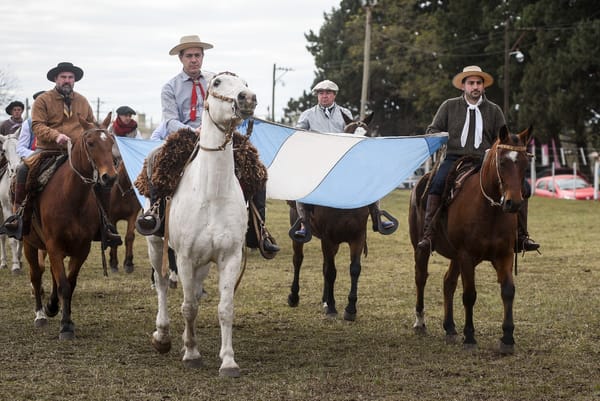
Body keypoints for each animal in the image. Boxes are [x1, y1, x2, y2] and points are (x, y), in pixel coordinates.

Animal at [26, 114, 118, 340]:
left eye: (111, 142)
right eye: (91, 143)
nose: (110, 177)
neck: (71, 197)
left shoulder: (81, 248)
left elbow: (69, 282)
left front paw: (63, 316)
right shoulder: (53, 245)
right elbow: (64, 285)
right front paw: (65, 326)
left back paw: (51, 306)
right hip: (28, 243)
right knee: (36, 275)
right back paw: (40, 314)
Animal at [148, 71, 258, 376]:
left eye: (245, 83)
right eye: (217, 83)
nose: (248, 98)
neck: (212, 194)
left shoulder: (229, 257)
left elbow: (224, 308)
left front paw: (228, 360)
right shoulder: (184, 257)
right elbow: (187, 308)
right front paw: (191, 353)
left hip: (203, 263)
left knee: (194, 293)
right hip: (156, 244)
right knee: (162, 283)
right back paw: (163, 335)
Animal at [410, 125, 532, 354]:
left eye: (524, 163)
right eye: (502, 162)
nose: (513, 203)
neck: (490, 209)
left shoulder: (504, 255)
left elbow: (508, 291)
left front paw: (508, 338)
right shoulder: (466, 255)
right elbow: (469, 295)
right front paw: (469, 337)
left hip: (455, 256)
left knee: (448, 282)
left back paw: (449, 327)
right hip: (421, 248)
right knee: (421, 278)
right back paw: (420, 322)